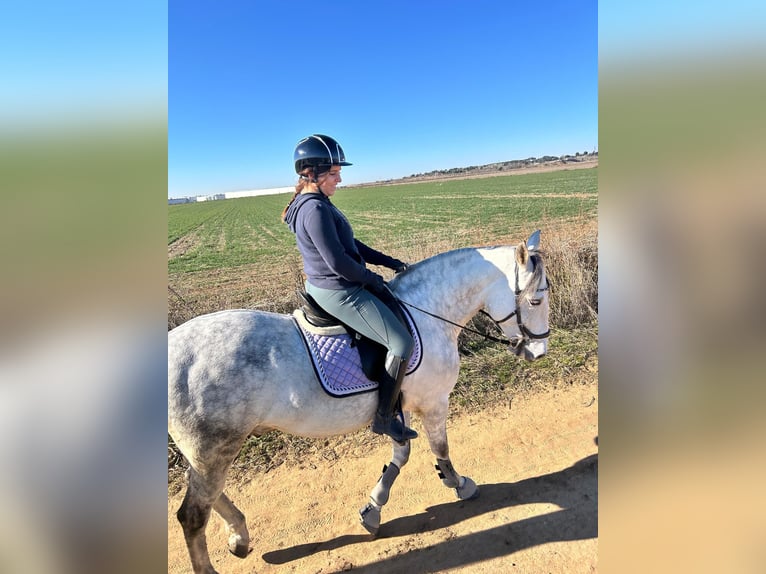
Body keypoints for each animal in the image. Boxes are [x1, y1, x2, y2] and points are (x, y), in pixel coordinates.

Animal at [168, 231, 552, 574]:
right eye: (535, 301)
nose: (539, 352)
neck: (428, 313)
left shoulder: (398, 409)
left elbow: (401, 455)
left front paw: (374, 508)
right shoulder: (434, 402)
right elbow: (440, 449)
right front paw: (457, 483)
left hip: (207, 452)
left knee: (208, 494)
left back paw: (239, 537)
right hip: (214, 448)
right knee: (193, 514)